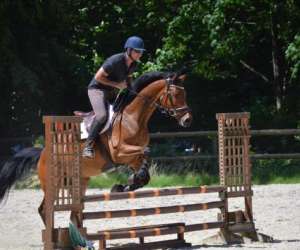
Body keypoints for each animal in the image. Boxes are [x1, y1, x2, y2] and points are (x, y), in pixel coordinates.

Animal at [0, 69, 192, 226]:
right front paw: (126, 183)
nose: (187, 120)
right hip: (53, 183)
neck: (133, 117)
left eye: (184, 94)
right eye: (175, 94)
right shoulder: (119, 153)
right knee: (44, 209)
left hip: (78, 181)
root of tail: (43, 153)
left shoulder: (132, 157)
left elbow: (144, 172)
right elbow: (146, 153)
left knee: (72, 209)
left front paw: (124, 186)